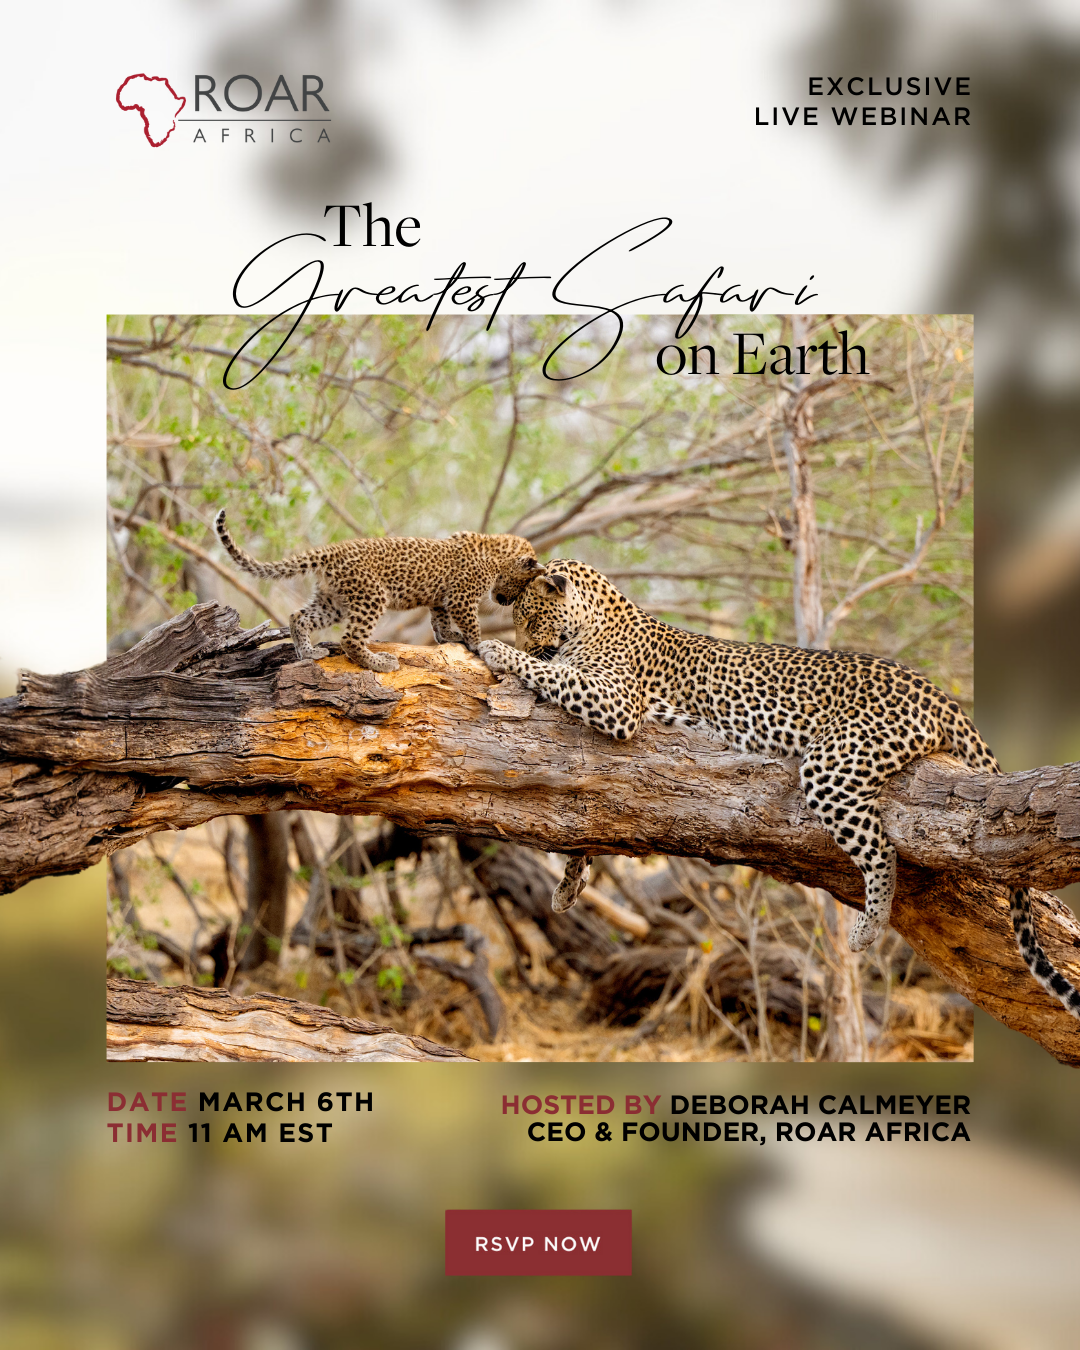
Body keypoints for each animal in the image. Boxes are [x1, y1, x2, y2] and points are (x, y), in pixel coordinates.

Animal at [215, 509, 542, 672]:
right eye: (521, 586)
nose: (505, 601)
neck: (495, 553)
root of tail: (331, 551)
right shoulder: (463, 596)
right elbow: (471, 623)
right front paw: (476, 644)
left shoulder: (441, 598)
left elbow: (438, 618)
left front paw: (448, 636)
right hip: (371, 595)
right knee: (350, 639)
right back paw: (379, 663)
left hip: (333, 600)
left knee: (299, 616)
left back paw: (308, 652)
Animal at [478, 557, 1080, 1022]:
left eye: (530, 617)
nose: (517, 636)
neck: (598, 616)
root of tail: (936, 690)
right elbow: (587, 821)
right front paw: (568, 885)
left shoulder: (616, 703)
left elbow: (552, 673)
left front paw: (496, 652)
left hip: (830, 765)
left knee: (881, 850)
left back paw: (868, 928)